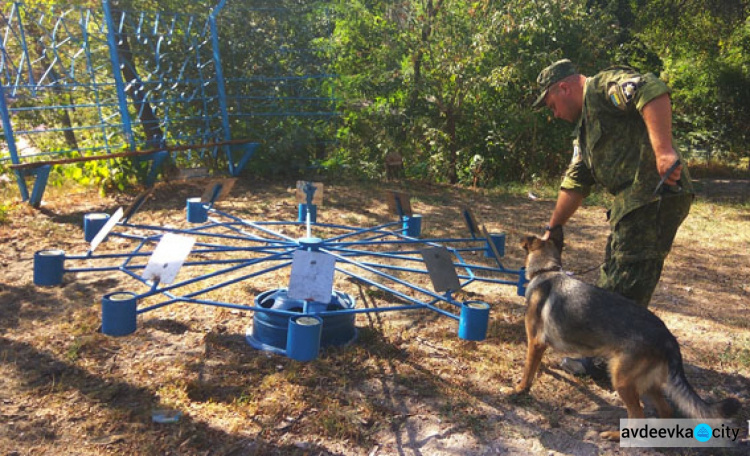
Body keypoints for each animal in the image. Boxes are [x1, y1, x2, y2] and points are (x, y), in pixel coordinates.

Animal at [516, 226, 740, 440]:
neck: (546, 271)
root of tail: (668, 338)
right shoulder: (540, 345)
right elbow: (534, 365)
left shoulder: (535, 342)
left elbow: (528, 371)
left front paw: (519, 390)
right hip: (648, 384)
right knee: (665, 410)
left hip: (621, 380)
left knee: (637, 417)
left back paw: (614, 435)